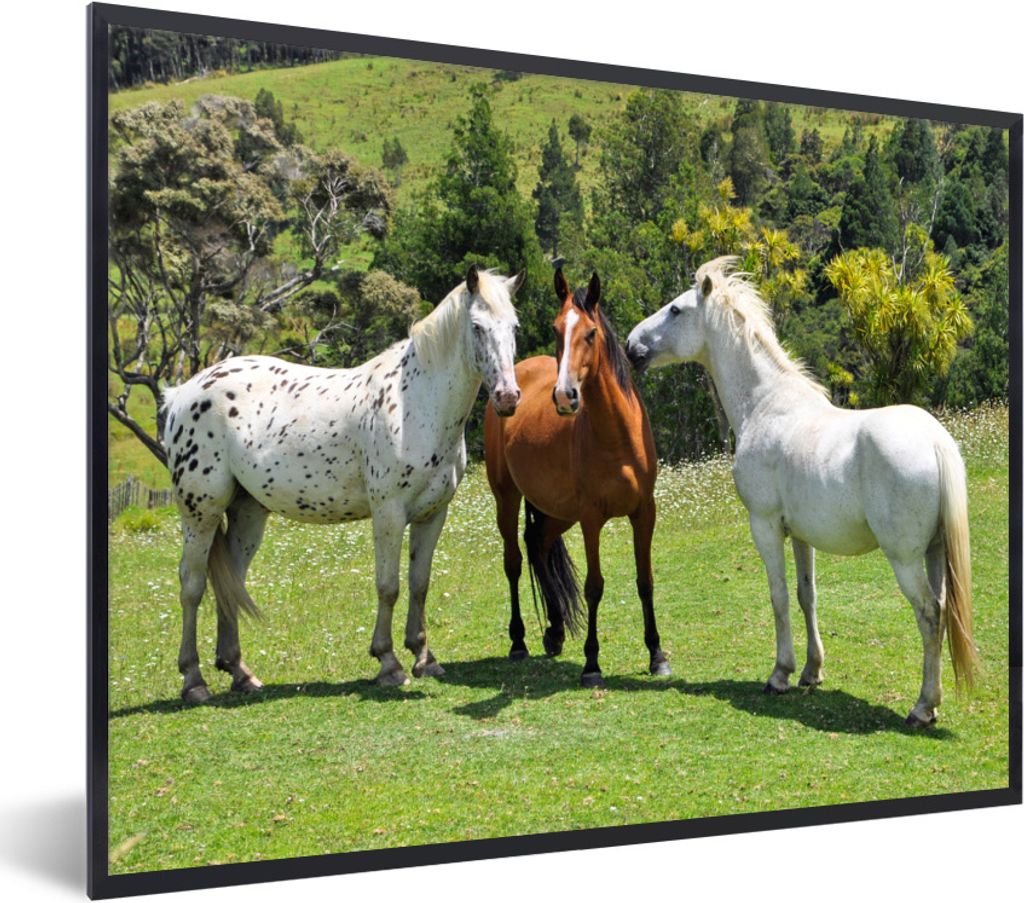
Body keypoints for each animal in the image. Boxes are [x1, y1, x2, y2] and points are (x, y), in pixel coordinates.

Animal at [161, 265, 524, 702]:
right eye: (477, 326)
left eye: (514, 326)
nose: (508, 397)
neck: (415, 402)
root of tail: (182, 393)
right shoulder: (388, 514)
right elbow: (389, 586)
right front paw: (388, 663)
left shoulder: (433, 514)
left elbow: (419, 583)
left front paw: (424, 658)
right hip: (201, 513)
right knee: (192, 585)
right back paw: (194, 680)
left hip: (247, 513)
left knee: (230, 581)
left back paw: (240, 672)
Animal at [483, 269, 670, 688]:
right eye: (556, 329)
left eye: (590, 333)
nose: (564, 396)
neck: (617, 436)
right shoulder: (590, 518)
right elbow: (594, 587)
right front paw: (592, 663)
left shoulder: (644, 513)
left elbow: (646, 580)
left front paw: (657, 655)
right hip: (507, 498)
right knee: (514, 561)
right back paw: (518, 641)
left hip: (558, 511)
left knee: (538, 544)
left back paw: (553, 632)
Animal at [625, 256, 978, 726]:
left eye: (676, 310)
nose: (631, 346)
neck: (765, 404)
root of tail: (936, 441)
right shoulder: (801, 536)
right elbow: (806, 595)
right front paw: (812, 670)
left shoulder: (765, 527)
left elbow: (777, 597)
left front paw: (780, 673)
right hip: (936, 552)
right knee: (941, 610)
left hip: (904, 558)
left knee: (928, 613)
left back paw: (923, 706)